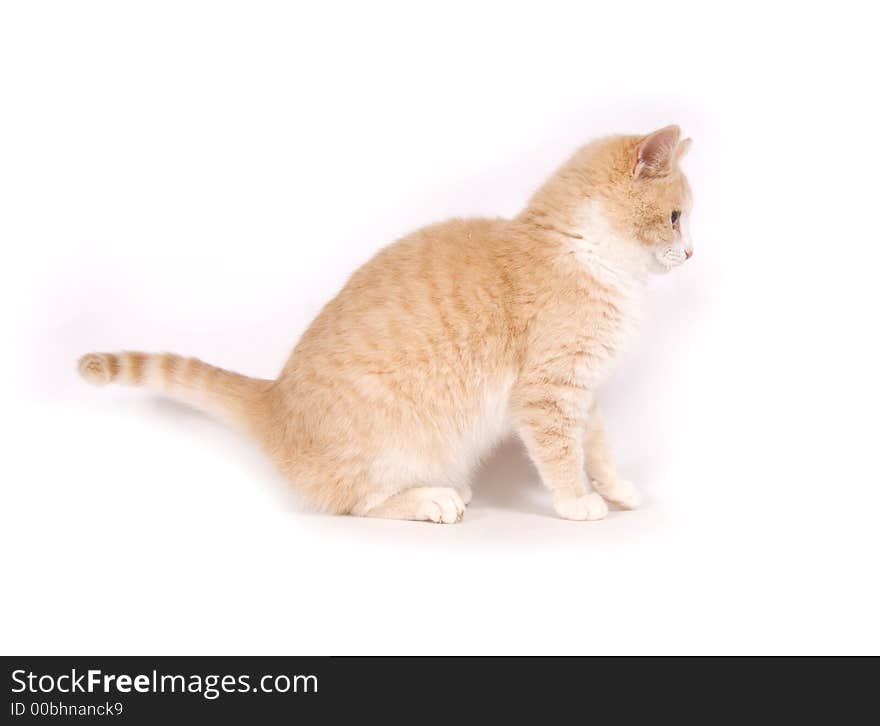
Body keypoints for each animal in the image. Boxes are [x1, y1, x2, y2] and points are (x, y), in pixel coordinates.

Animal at [77, 125, 696, 524]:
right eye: (675, 218)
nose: (692, 254)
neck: (581, 249)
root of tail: (275, 401)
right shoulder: (548, 393)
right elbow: (561, 455)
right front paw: (575, 500)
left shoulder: (583, 391)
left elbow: (599, 448)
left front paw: (616, 489)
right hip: (390, 446)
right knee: (357, 502)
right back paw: (430, 499)